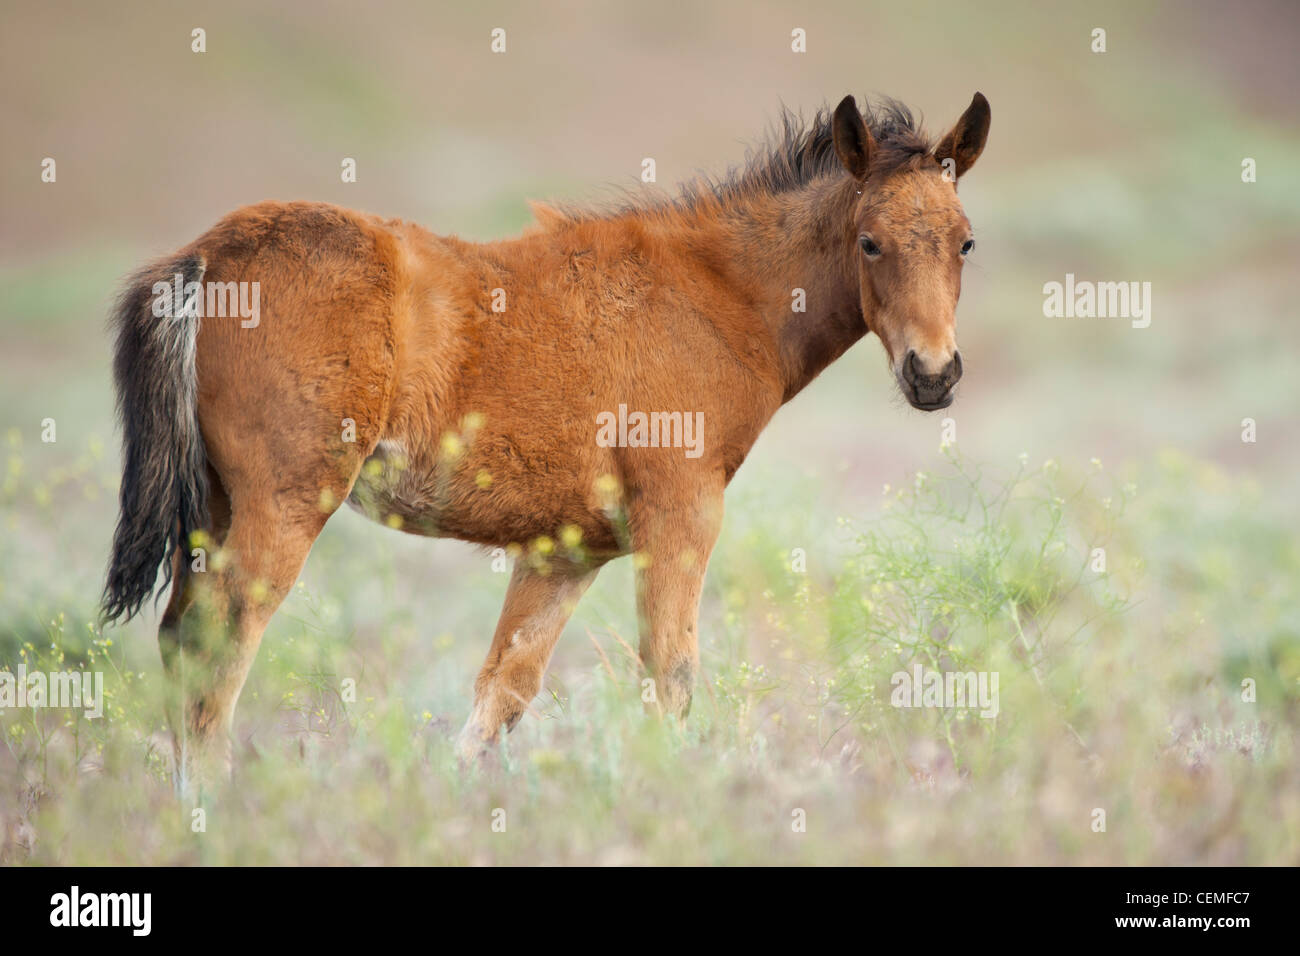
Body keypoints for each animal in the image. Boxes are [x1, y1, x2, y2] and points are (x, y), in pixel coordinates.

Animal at [100, 92, 990, 787]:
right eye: (870, 241)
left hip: (214, 508)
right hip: (285, 503)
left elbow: (504, 690)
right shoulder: (681, 519)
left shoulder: (563, 554)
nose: (934, 373)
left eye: (965, 241)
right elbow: (670, 675)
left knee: (181, 637)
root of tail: (207, 255)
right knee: (220, 643)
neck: (717, 297)